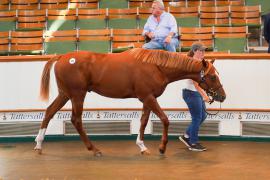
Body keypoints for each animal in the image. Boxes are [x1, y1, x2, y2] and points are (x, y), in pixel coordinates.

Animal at [35, 48, 226, 156]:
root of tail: (62, 57)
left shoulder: (148, 98)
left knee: (49, 112)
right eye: (212, 76)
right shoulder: (148, 97)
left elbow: (143, 121)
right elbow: (165, 120)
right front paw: (162, 147)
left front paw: (142, 147)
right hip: (77, 95)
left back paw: (38, 145)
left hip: (65, 94)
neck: (156, 66)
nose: (222, 96)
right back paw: (94, 149)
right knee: (75, 120)